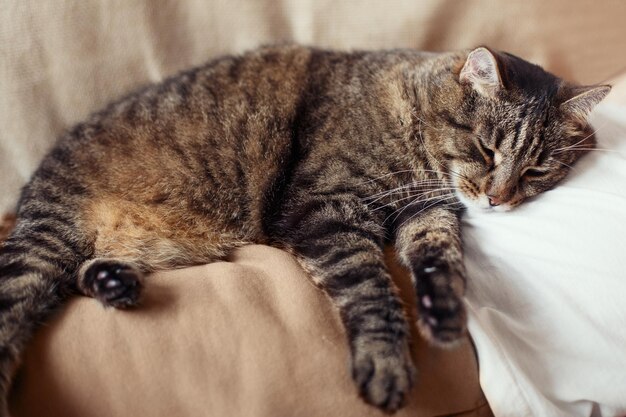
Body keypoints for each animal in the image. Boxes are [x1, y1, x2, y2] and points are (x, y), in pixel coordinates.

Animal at [0, 44, 608, 414]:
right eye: (488, 150)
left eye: (537, 170)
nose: (499, 199)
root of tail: (26, 198)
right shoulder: (326, 211)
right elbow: (371, 287)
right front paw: (386, 364)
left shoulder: (426, 213)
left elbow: (441, 256)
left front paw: (443, 312)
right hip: (43, 245)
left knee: (82, 274)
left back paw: (113, 281)